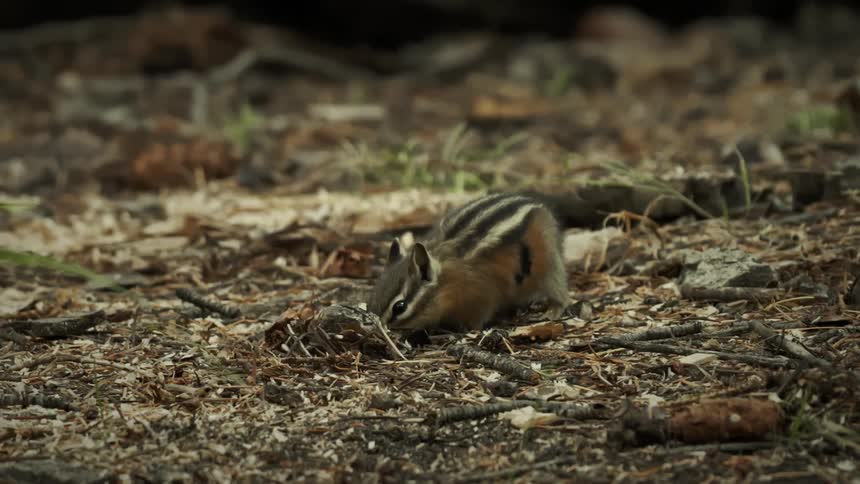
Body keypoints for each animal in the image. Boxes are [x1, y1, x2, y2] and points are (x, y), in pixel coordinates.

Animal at [367, 192, 571, 332]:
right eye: (373, 296)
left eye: (399, 307)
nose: (379, 330)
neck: (447, 281)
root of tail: (533, 203)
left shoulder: (482, 297)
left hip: (551, 260)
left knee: (558, 287)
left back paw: (553, 309)